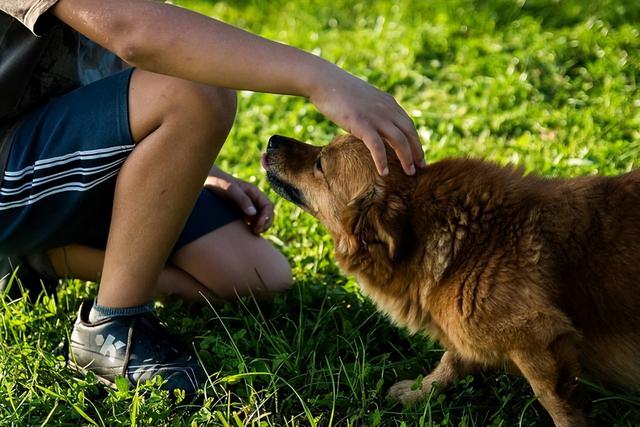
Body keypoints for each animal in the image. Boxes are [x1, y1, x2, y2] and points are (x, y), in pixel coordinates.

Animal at [262, 132, 640, 426]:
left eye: (320, 163)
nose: (272, 139)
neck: (467, 240)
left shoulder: (537, 338)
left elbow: (555, 402)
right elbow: (451, 360)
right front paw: (421, 391)